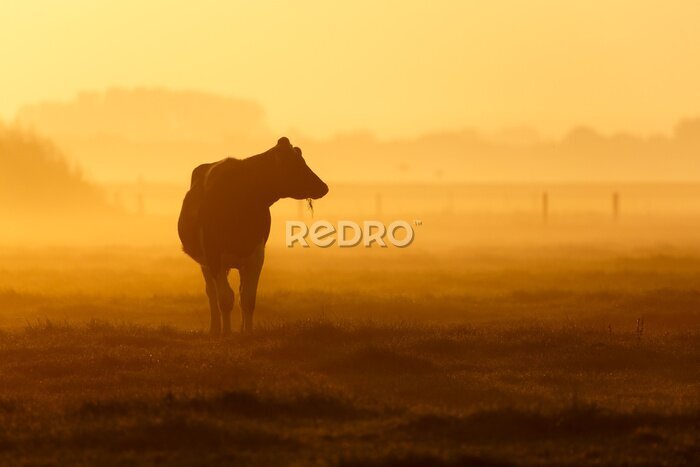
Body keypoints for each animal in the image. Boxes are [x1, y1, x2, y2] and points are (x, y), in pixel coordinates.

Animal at [178, 137, 329, 334]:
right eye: (295, 164)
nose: (323, 187)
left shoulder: (256, 254)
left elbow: (248, 298)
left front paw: (247, 333)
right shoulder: (213, 255)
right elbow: (225, 298)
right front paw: (227, 333)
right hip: (205, 262)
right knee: (212, 293)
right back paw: (215, 329)